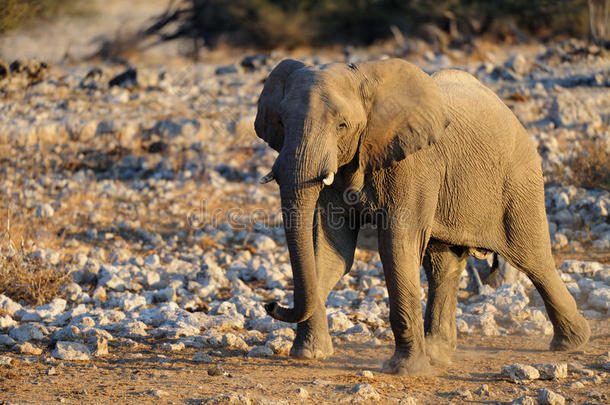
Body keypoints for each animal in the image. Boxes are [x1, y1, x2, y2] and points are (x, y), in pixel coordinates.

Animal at [252, 58, 588, 374]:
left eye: (342, 125)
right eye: (281, 122)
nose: (270, 303)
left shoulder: (413, 163)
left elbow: (397, 246)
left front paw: (404, 370)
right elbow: (333, 252)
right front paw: (310, 354)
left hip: (519, 181)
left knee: (533, 259)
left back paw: (571, 343)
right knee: (444, 266)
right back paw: (438, 354)